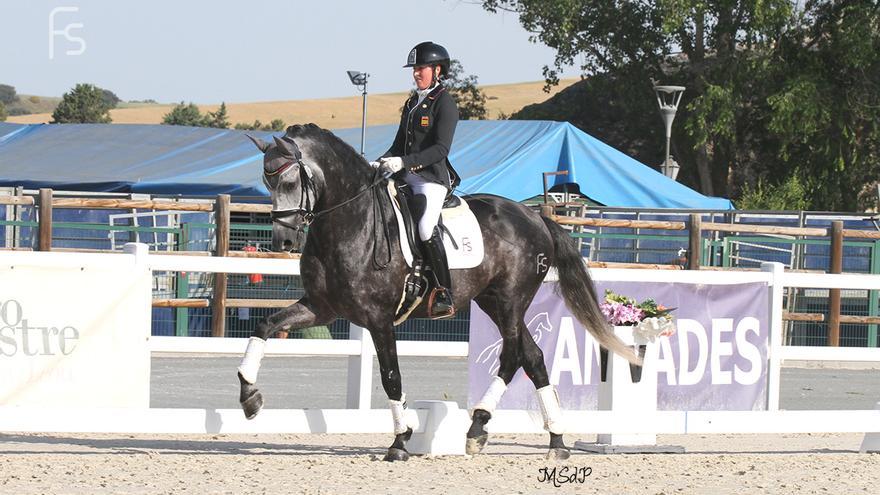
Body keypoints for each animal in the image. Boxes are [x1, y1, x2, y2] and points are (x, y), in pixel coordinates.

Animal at [239, 123, 640, 462]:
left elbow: (391, 377)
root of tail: (534, 217)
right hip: (492, 302)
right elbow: (264, 325)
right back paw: (555, 440)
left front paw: (400, 442)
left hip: (512, 298)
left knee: (512, 356)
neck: (352, 222)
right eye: (266, 181)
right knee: (534, 357)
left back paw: (478, 426)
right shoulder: (321, 307)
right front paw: (249, 398)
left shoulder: (379, 319)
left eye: (290, 179)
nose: (284, 241)